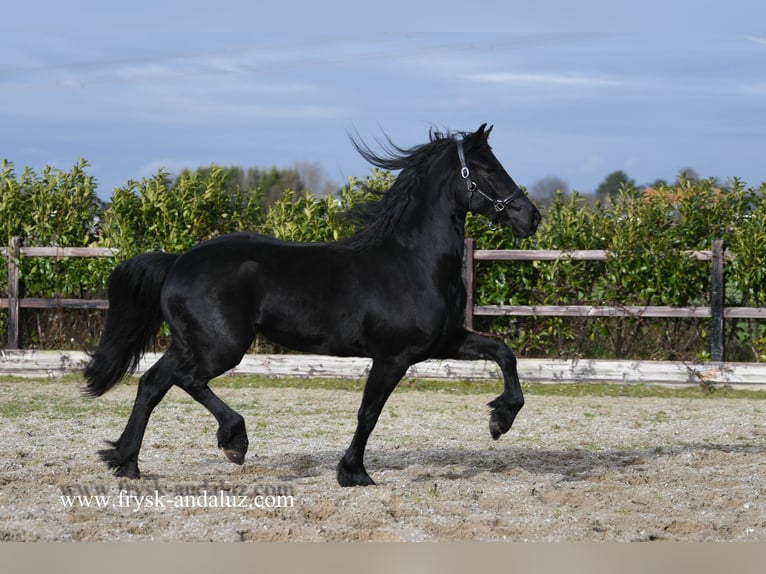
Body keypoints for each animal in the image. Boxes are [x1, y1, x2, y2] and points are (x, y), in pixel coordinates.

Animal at [84, 124, 544, 488]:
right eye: (488, 169)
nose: (532, 217)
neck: (413, 260)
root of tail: (178, 260)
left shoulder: (443, 342)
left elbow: (504, 353)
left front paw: (500, 419)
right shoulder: (392, 356)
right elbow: (368, 413)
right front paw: (353, 472)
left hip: (194, 342)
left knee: (153, 383)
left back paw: (126, 462)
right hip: (220, 347)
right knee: (183, 379)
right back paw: (234, 440)